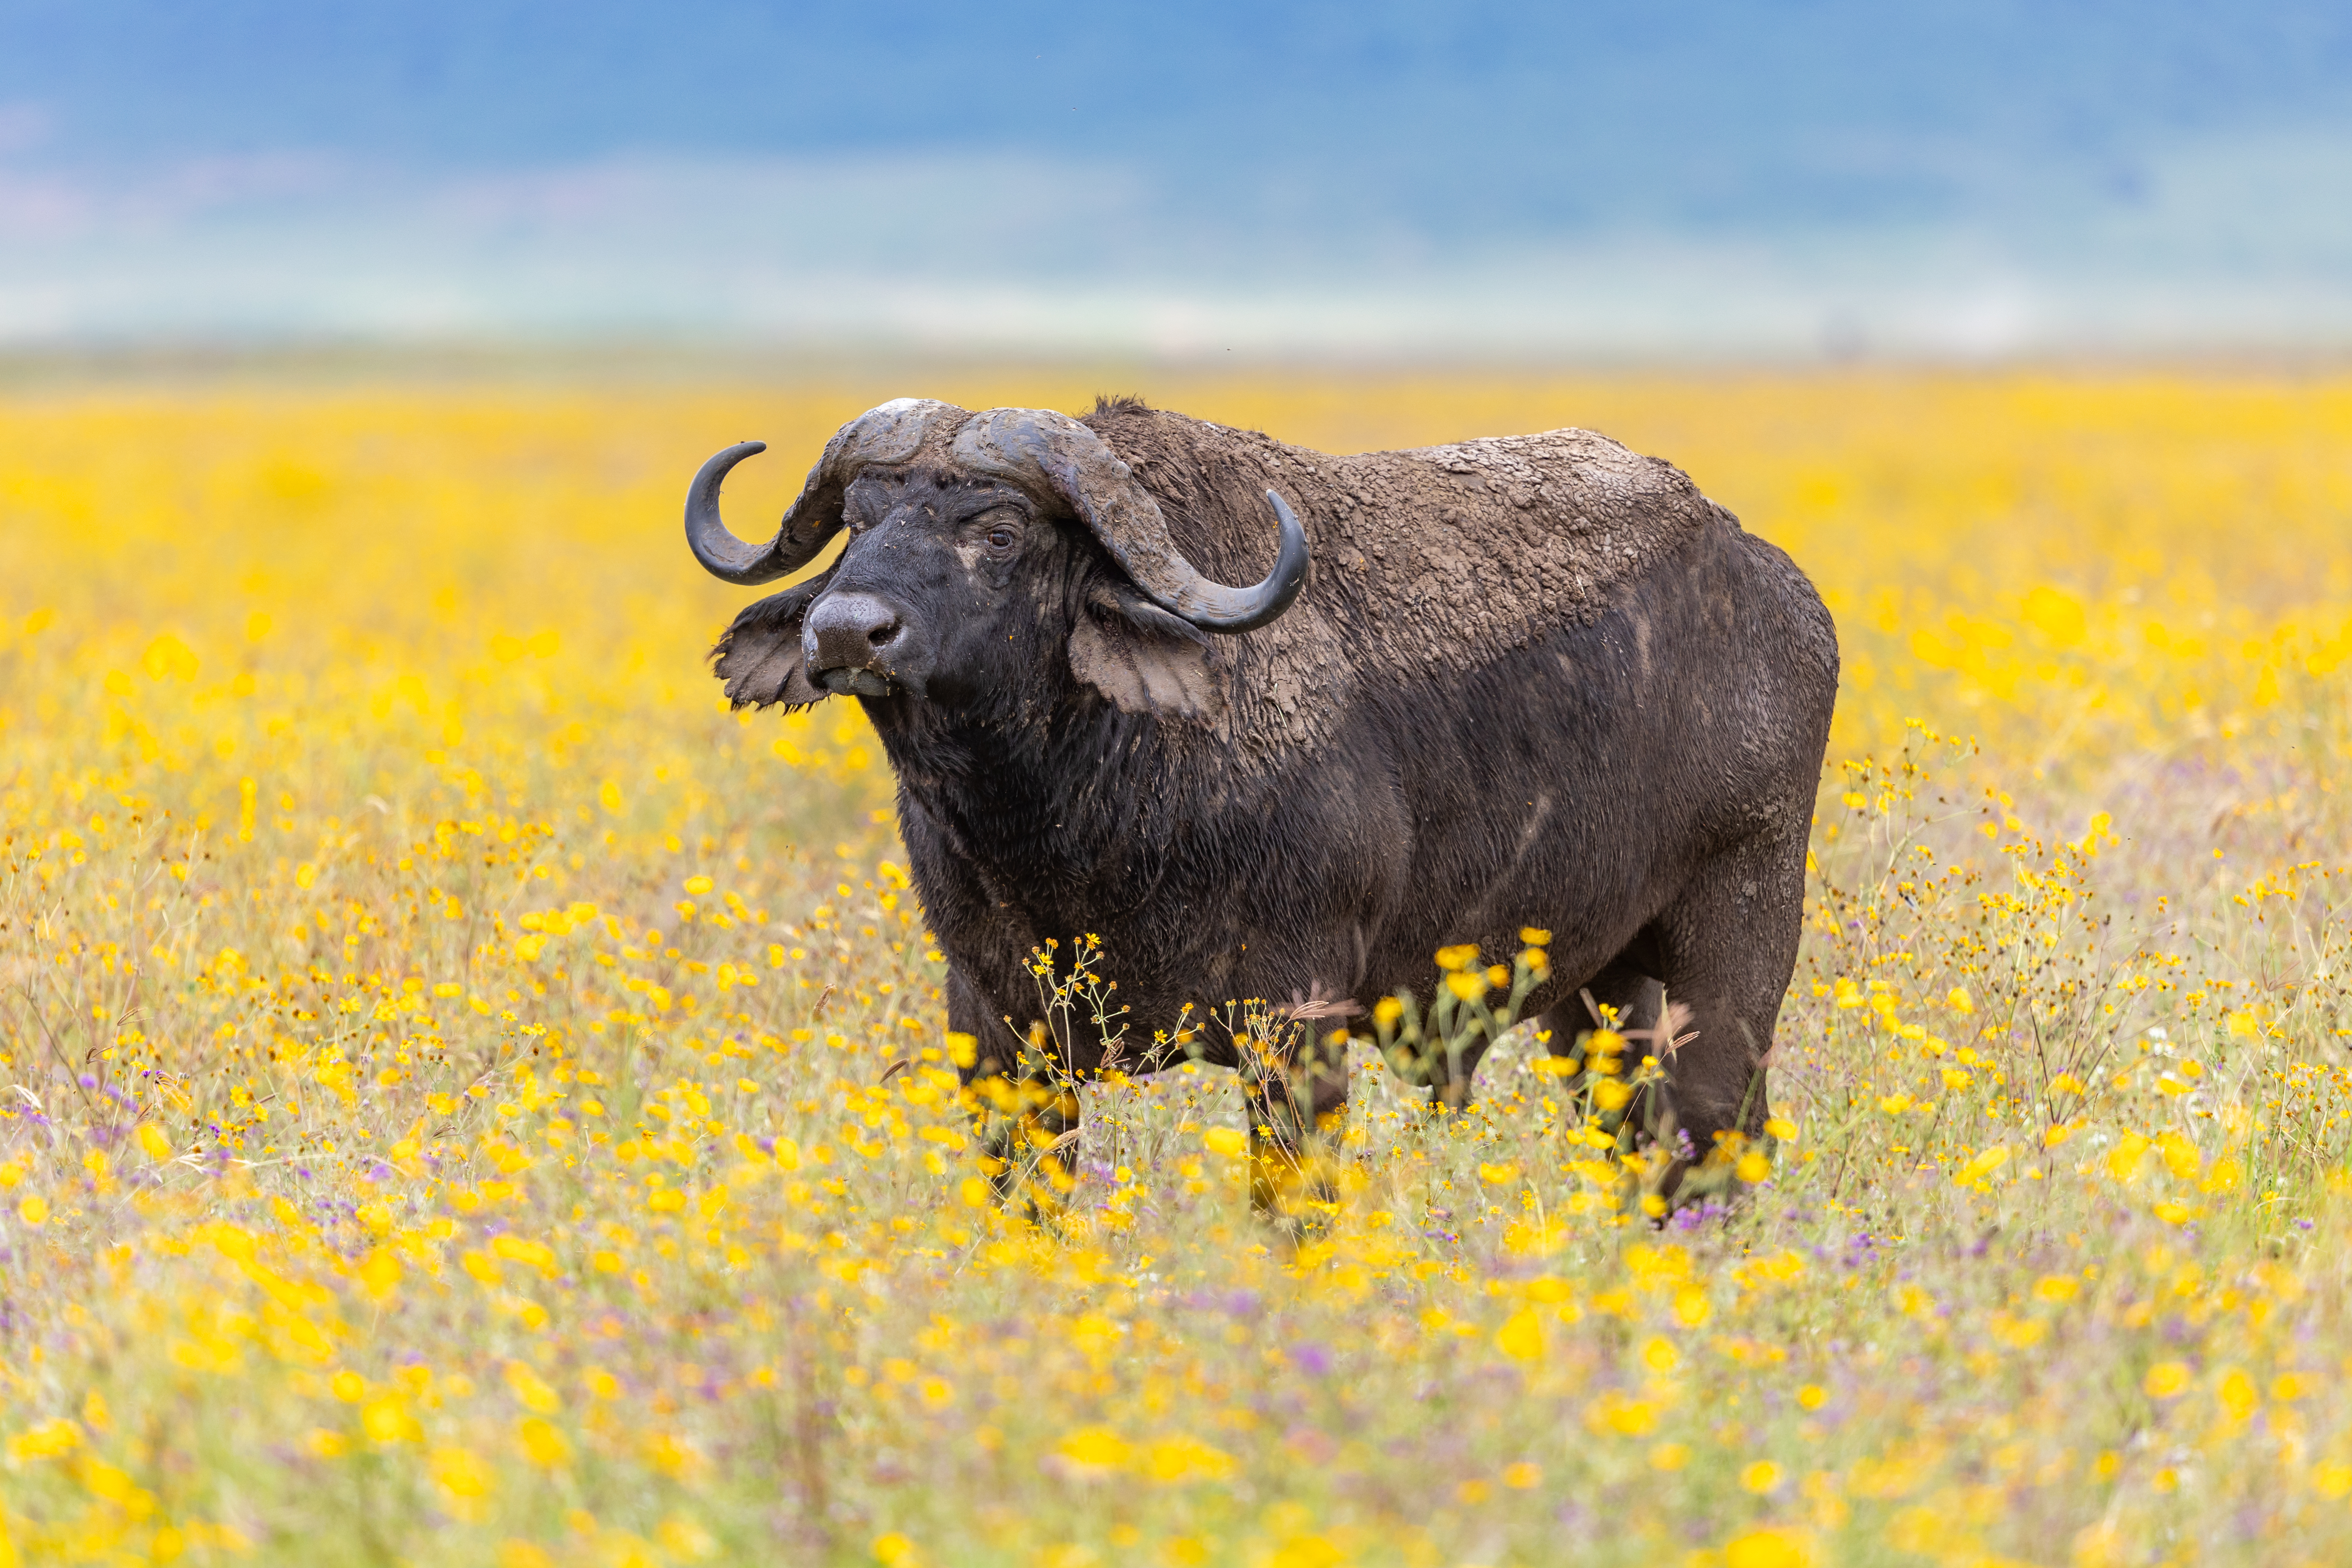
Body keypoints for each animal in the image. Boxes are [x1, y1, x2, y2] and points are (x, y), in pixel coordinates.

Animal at [683, 396, 1837, 1205]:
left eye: (999, 531)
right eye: (860, 520)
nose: (845, 631)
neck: (1072, 826)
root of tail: (1768, 580)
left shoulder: (1294, 1018)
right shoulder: (996, 1026)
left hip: (1734, 949)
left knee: (1717, 1139)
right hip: (1596, 990)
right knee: (1639, 1144)